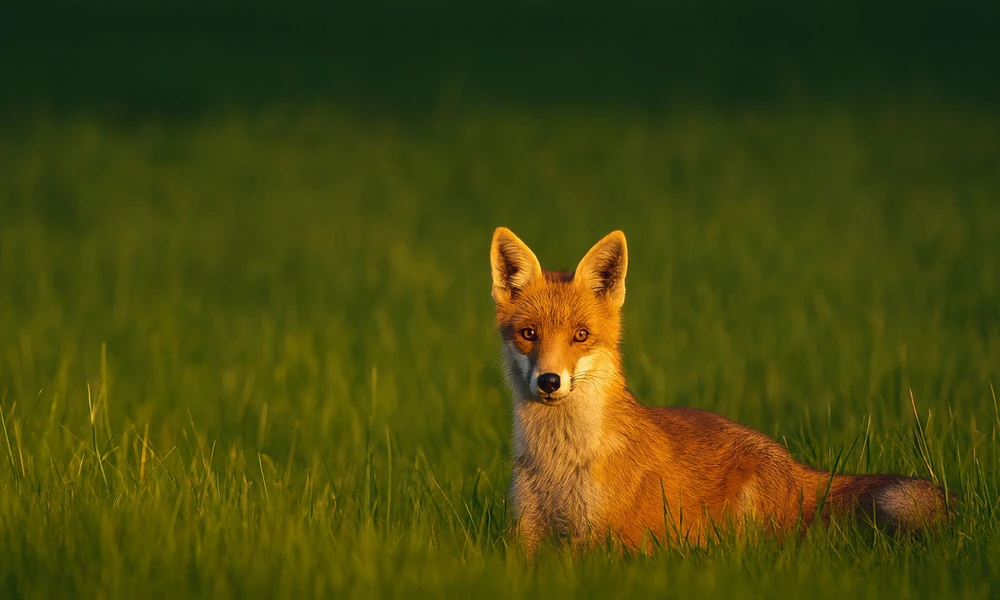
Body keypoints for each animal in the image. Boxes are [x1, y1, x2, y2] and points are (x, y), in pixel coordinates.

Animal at [489, 226, 956, 554]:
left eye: (581, 336)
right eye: (529, 334)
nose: (549, 381)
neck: (559, 462)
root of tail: (798, 467)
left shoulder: (601, 540)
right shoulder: (525, 535)